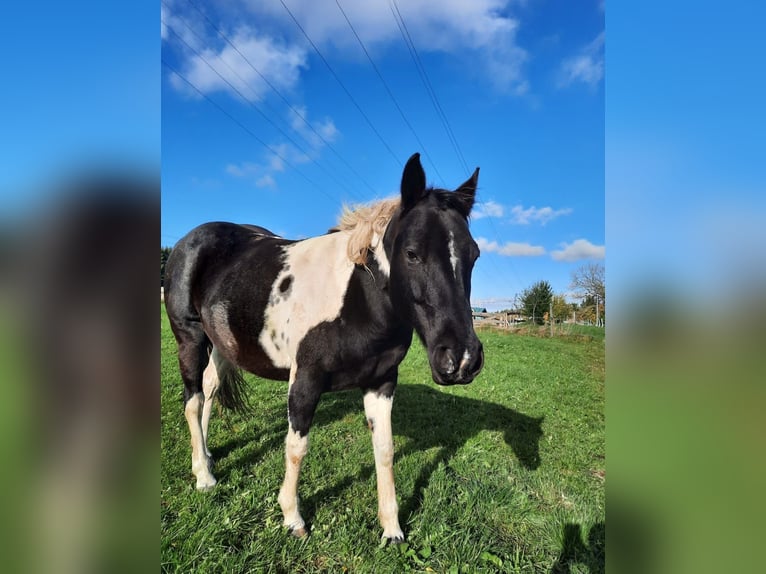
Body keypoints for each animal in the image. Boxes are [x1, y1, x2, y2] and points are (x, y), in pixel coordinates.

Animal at [165, 153, 486, 544]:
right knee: (193, 401)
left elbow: (385, 450)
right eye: (412, 254)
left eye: (474, 255)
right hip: (190, 338)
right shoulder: (306, 379)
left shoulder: (381, 382)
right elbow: (296, 448)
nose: (462, 359)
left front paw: (391, 528)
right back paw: (204, 476)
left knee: (209, 389)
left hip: (225, 344)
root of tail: (189, 240)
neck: (356, 299)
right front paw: (292, 518)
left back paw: (208, 456)